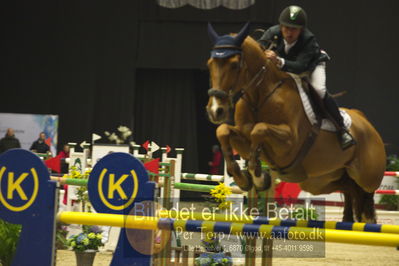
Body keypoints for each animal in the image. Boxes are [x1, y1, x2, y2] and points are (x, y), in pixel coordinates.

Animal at [205, 22, 386, 223]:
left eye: (235, 65)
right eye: (210, 64)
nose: (216, 110)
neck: (260, 97)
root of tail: (367, 123)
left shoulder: (289, 144)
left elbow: (259, 129)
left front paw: (259, 177)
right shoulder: (243, 138)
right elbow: (223, 131)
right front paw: (243, 178)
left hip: (367, 177)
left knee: (365, 195)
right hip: (322, 180)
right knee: (350, 190)